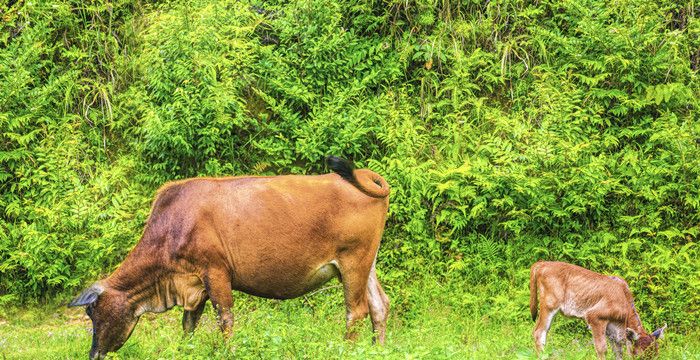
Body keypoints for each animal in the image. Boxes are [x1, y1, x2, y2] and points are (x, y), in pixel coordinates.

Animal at [67, 158, 392, 360]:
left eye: (92, 312)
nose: (93, 354)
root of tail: (365, 174)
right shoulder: (194, 284)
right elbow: (188, 325)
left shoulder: (215, 272)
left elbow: (224, 319)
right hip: (367, 263)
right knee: (379, 305)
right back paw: (378, 349)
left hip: (353, 261)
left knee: (356, 310)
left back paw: (347, 350)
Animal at [532, 260, 668, 358]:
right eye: (640, 356)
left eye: (656, 355)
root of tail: (543, 263)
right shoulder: (595, 317)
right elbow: (602, 349)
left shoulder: (613, 330)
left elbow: (618, 352)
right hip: (549, 305)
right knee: (539, 332)